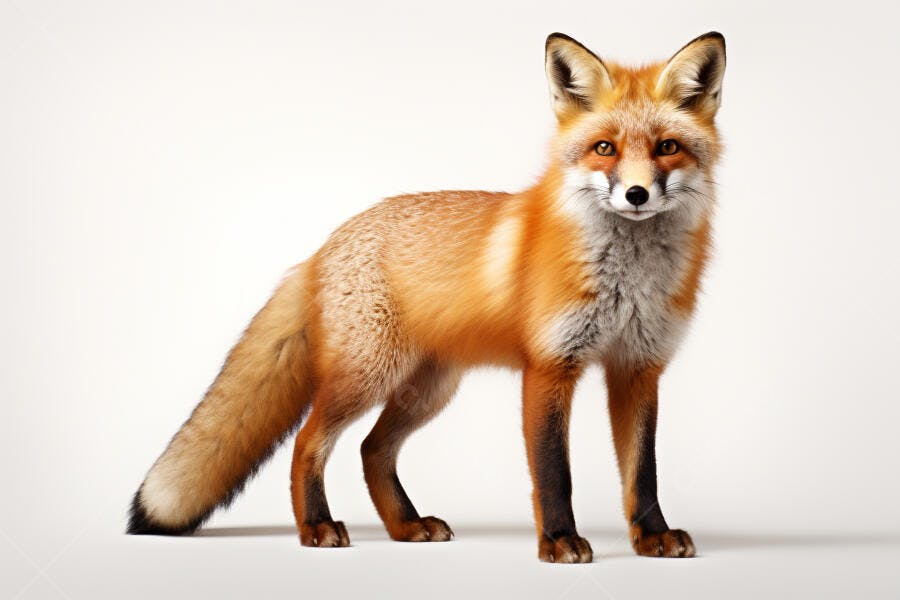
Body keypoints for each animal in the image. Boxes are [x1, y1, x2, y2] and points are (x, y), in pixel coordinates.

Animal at [128, 31, 726, 563]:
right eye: (605, 148)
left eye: (667, 148)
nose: (636, 194)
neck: (627, 281)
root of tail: (322, 247)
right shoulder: (550, 365)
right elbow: (555, 472)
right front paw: (558, 542)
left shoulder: (637, 366)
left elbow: (642, 473)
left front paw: (653, 537)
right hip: (366, 377)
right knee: (307, 443)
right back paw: (317, 526)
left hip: (426, 390)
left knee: (372, 450)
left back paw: (406, 526)